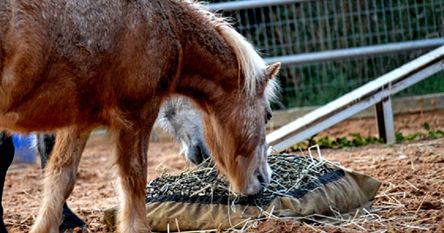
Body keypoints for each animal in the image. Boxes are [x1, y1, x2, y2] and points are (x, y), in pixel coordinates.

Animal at [0, 0, 278, 232]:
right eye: (267, 116)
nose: (264, 178)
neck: (163, 23)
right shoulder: (138, 114)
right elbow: (133, 181)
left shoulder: (79, 123)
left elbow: (59, 179)